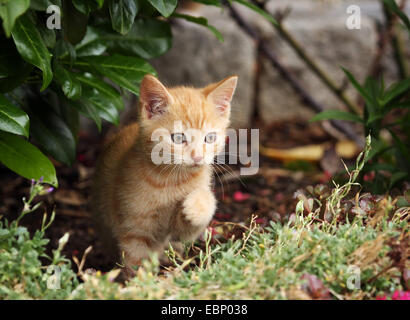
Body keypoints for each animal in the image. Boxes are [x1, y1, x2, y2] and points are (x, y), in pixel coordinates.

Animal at [89, 74, 237, 272]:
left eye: (210, 137)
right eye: (179, 138)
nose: (198, 157)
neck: (171, 180)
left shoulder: (181, 230)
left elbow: (194, 219)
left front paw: (197, 205)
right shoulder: (134, 231)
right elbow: (135, 262)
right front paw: (143, 280)